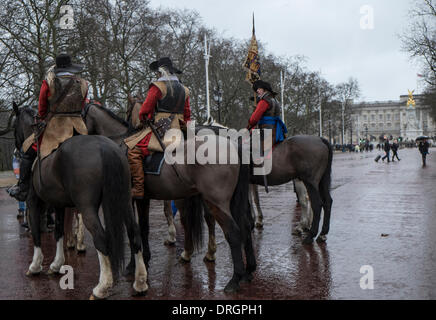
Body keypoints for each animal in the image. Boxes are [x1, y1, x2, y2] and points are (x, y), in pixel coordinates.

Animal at [12, 104, 148, 298]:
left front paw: (35, 266)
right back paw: (140, 283)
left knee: (101, 238)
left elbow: (37, 233)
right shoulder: (59, 204)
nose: (17, 151)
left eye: (15, 125)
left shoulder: (33, 202)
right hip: (125, 201)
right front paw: (56, 264)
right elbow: (59, 232)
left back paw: (101, 287)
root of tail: (106, 148)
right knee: (134, 233)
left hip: (87, 207)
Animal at [83, 100, 255, 292]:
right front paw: (145, 259)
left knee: (233, 232)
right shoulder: (144, 199)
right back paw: (247, 271)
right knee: (245, 226)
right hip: (231, 201)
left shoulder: (130, 198)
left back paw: (234, 279)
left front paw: (132, 266)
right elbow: (144, 227)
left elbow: (133, 229)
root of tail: (233, 145)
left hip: (216, 202)